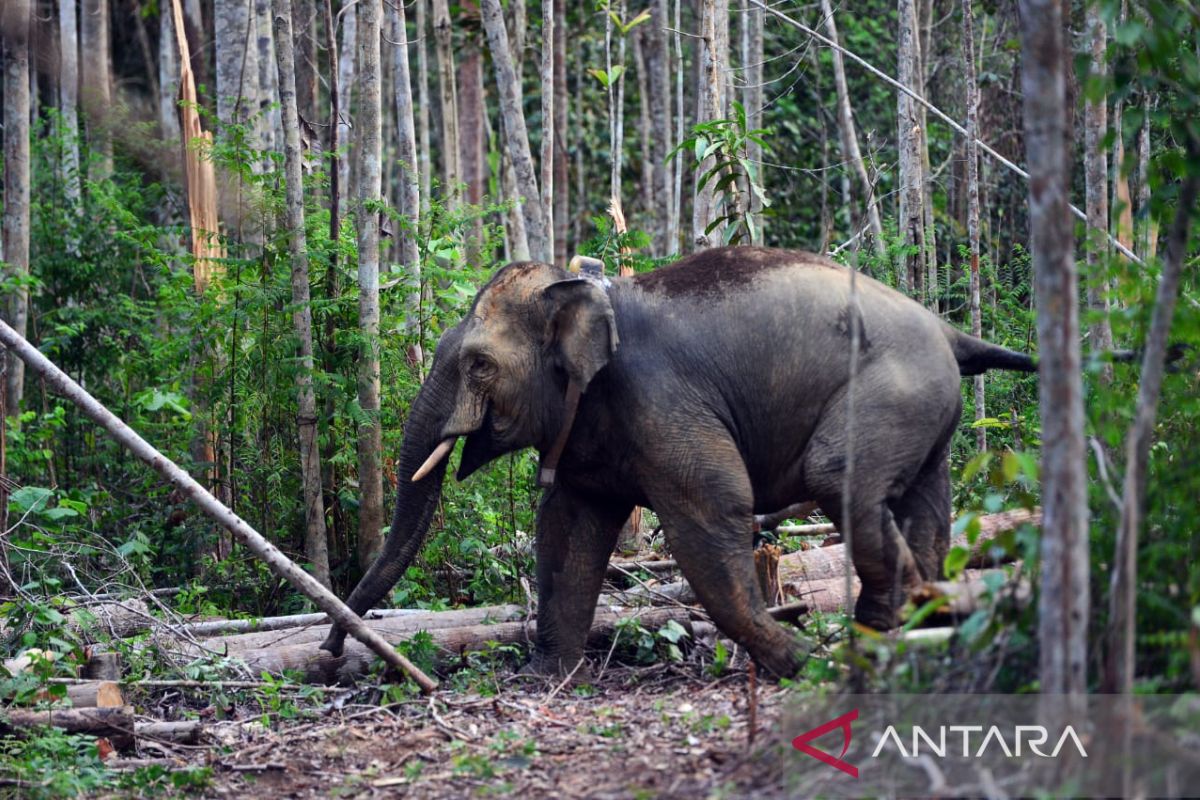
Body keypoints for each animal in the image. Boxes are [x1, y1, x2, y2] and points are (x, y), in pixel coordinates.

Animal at [316, 244, 1032, 676]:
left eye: (479, 365)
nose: (329, 653)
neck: (593, 292)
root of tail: (949, 332)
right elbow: (568, 530)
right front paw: (549, 675)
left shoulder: (661, 399)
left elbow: (711, 511)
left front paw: (800, 660)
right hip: (929, 411)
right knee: (927, 505)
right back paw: (926, 622)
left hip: (893, 391)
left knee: (841, 480)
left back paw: (879, 638)